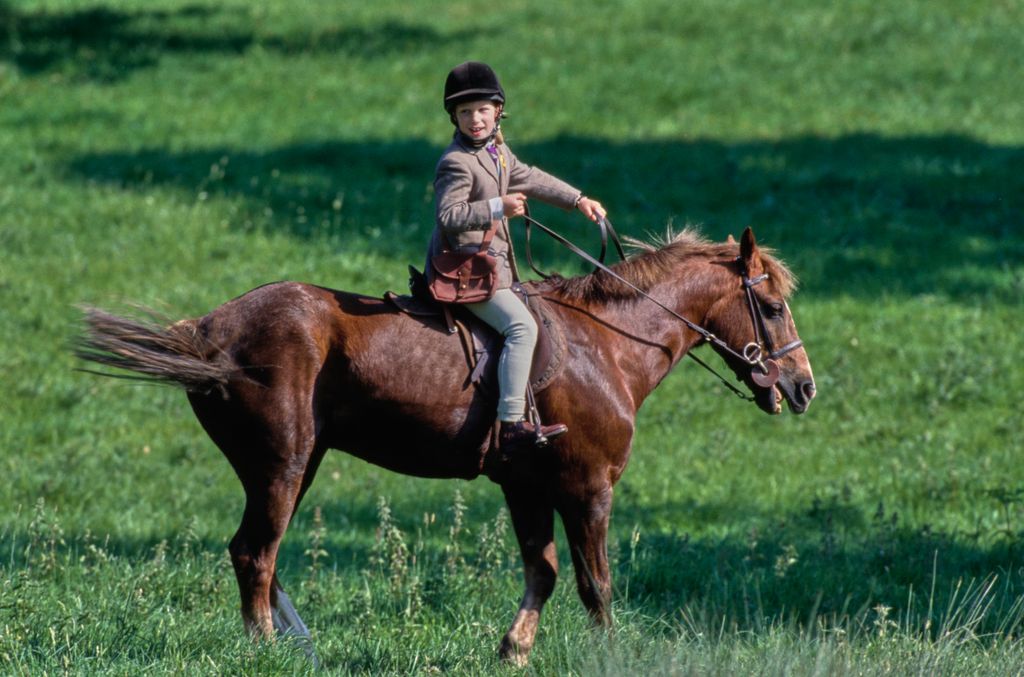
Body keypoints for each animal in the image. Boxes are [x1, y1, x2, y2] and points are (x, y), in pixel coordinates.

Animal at [75, 224, 815, 663]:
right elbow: (595, 582)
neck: (605, 343)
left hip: (294, 466)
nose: (804, 385)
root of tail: (205, 328)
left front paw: (513, 650)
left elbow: (543, 572)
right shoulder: (588, 486)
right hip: (280, 466)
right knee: (254, 553)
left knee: (263, 552)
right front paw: (607, 655)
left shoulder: (526, 485)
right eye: (772, 305)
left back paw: (299, 645)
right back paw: (264, 650)